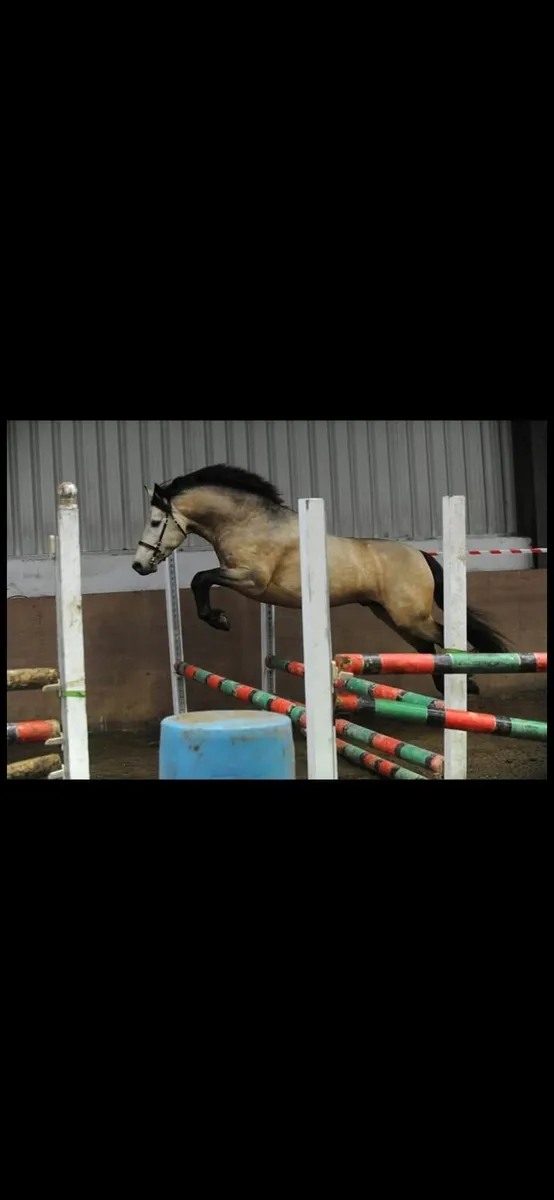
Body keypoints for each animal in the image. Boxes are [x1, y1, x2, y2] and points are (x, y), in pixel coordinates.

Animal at [132, 463, 509, 695]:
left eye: (155, 522)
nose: (138, 565)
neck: (248, 523)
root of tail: (419, 555)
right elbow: (202, 579)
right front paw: (217, 618)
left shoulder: (250, 580)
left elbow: (201, 578)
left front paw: (218, 619)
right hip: (393, 617)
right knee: (428, 649)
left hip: (409, 616)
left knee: (448, 639)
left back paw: (468, 681)